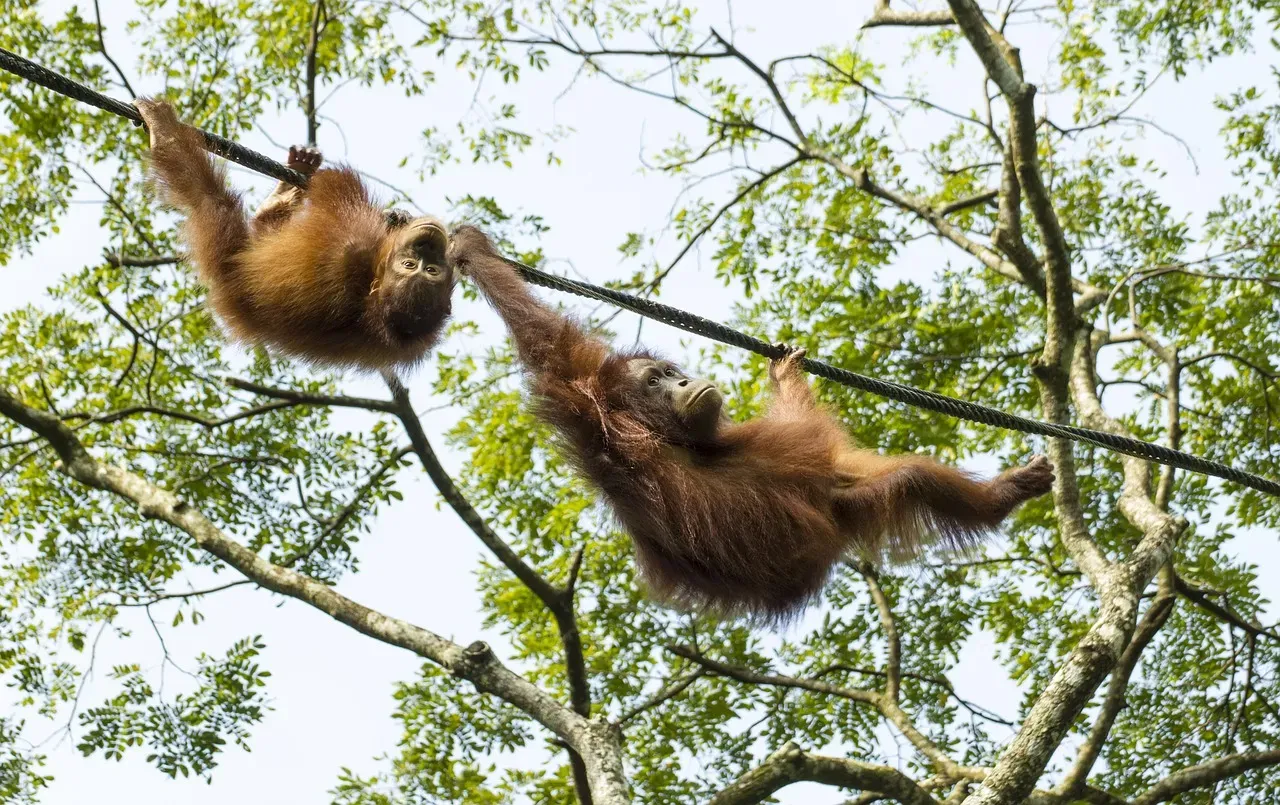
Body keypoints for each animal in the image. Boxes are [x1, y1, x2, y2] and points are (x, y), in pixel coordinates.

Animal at [133, 98, 454, 371]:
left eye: (426, 270)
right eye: (414, 266)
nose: (427, 244)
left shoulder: (350, 249)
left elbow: (336, 189)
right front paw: (397, 217)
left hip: (222, 246)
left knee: (206, 196)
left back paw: (163, 130)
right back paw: (287, 188)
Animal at [449, 225, 1055, 623]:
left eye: (672, 373)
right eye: (656, 382)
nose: (684, 382)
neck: (676, 438)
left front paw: (785, 370)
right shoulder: (588, 410)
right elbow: (548, 345)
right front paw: (474, 250)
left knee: (899, 477)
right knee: (909, 481)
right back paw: (1000, 500)